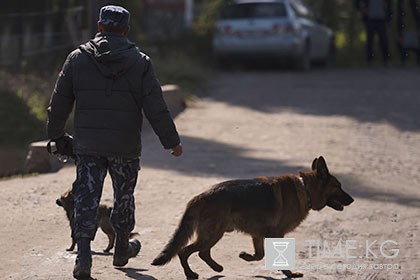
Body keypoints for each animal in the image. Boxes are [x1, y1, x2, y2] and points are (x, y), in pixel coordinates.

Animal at [153, 156, 352, 278]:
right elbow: (274, 257)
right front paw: (289, 273)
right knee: (184, 251)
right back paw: (191, 274)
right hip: (213, 234)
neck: (305, 188)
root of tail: (200, 197)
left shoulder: (258, 235)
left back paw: (216, 268)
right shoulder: (276, 235)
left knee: (202, 252)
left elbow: (259, 254)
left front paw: (246, 257)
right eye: (338, 186)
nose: (352, 199)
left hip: (214, 234)